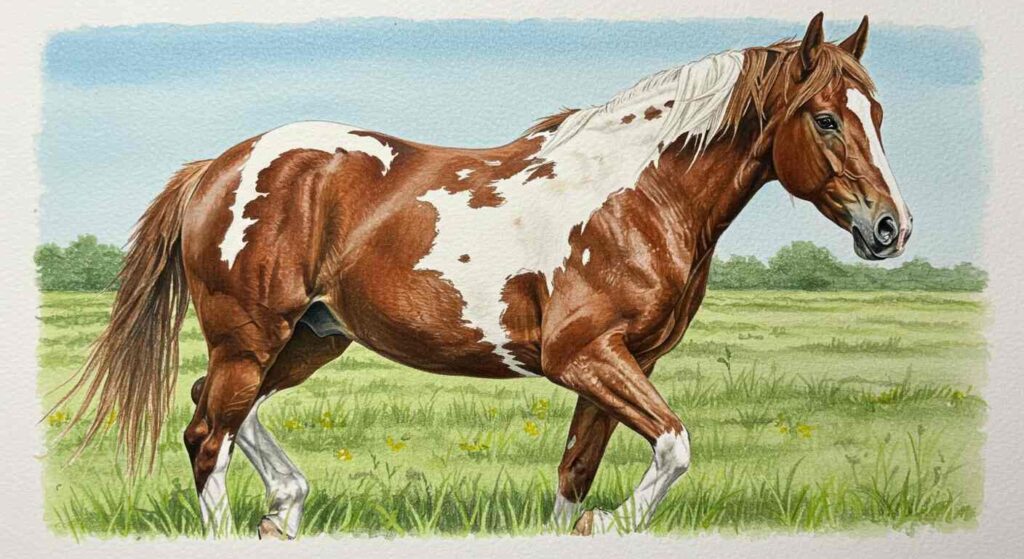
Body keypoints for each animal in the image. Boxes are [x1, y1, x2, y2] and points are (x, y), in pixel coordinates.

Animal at [58, 13, 912, 538]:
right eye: (825, 118)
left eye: (877, 115)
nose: (890, 228)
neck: (637, 194)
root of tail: (217, 166)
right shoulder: (585, 356)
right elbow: (673, 445)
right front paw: (615, 521)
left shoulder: (622, 364)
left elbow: (575, 473)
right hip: (251, 336)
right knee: (209, 433)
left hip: (308, 338)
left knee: (222, 409)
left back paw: (284, 509)